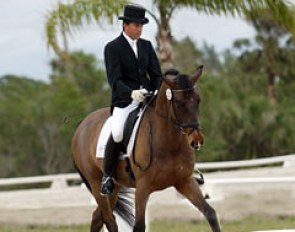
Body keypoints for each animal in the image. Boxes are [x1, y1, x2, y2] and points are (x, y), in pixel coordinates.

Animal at [70, 66, 221, 231]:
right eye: (179, 103)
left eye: (198, 100)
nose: (197, 140)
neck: (169, 144)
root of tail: (82, 123)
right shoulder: (142, 189)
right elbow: (139, 226)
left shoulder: (185, 181)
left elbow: (210, 213)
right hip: (96, 182)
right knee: (109, 220)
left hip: (115, 187)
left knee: (98, 218)